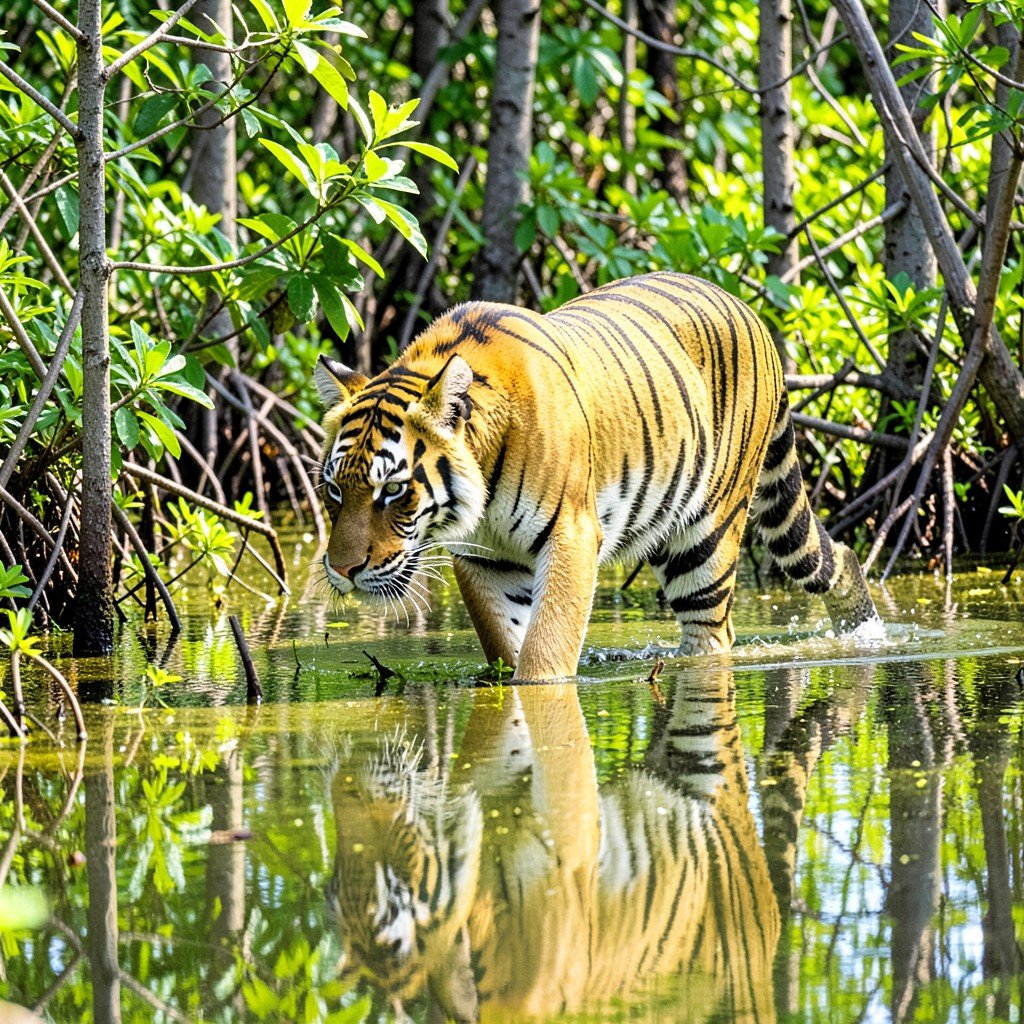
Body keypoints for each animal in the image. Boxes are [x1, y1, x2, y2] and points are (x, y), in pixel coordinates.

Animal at [315, 271, 879, 679]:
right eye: (334, 490)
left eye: (393, 490)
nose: (342, 570)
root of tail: (751, 311)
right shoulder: (483, 558)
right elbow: (504, 643)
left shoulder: (572, 532)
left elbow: (546, 649)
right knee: (837, 558)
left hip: (708, 537)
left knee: (714, 635)